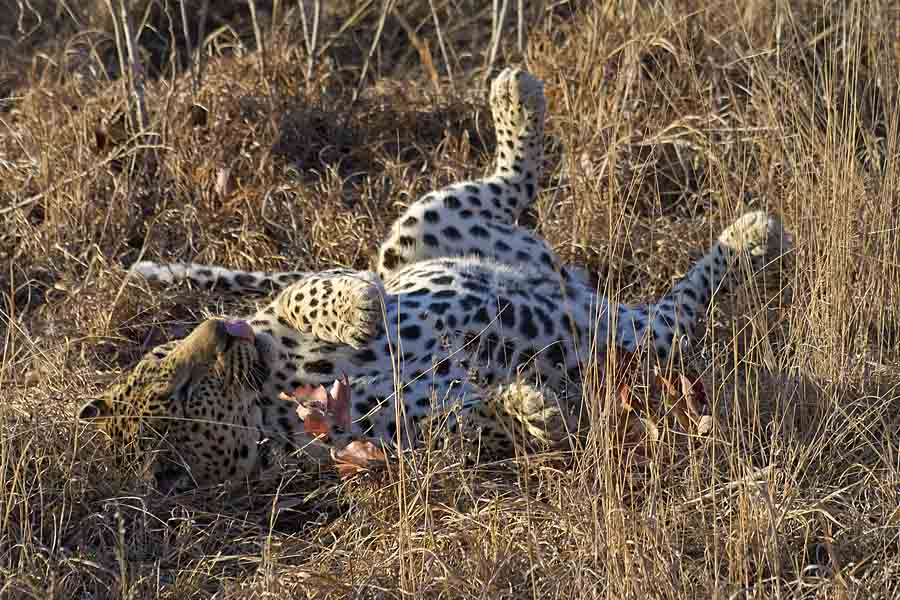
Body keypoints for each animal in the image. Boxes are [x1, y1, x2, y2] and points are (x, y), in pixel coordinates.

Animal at [81, 68, 792, 494]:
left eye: (163, 359)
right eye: (183, 388)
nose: (213, 329)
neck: (270, 397)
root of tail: (565, 280)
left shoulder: (276, 322)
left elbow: (303, 296)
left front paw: (356, 308)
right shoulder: (398, 442)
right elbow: (482, 427)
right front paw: (530, 409)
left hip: (419, 229)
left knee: (507, 182)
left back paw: (514, 95)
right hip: (634, 341)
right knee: (680, 309)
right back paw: (753, 236)